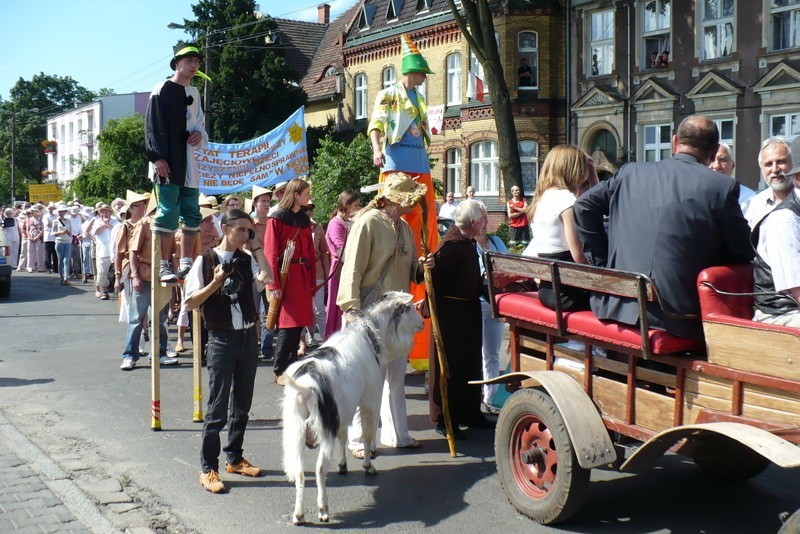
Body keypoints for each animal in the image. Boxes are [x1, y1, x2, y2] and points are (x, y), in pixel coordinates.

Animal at [280, 292, 422, 524]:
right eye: (408, 308)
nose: (422, 322)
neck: (368, 336)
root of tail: (306, 387)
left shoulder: (344, 411)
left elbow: (344, 436)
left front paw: (343, 465)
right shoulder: (369, 401)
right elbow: (366, 435)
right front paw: (368, 466)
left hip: (296, 429)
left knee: (300, 471)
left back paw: (299, 515)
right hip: (323, 429)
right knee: (320, 469)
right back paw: (323, 509)